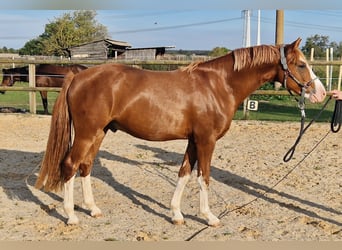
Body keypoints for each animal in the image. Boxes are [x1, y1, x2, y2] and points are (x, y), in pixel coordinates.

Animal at [34, 38, 326, 227]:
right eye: (301, 64)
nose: (321, 93)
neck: (219, 84)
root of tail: (78, 77)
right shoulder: (206, 140)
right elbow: (204, 177)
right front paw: (209, 217)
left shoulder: (194, 141)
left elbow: (184, 173)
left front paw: (176, 214)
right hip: (86, 133)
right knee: (70, 165)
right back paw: (71, 216)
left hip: (99, 133)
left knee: (86, 166)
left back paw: (93, 209)